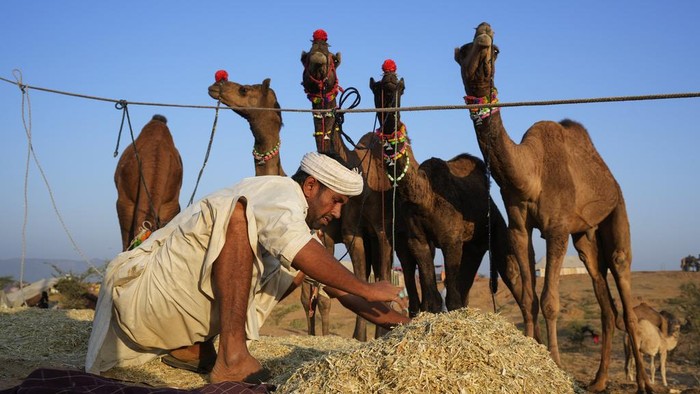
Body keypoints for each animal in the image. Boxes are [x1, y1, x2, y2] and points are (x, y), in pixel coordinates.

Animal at [302, 29, 400, 340]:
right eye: (306, 57)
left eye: (332, 59)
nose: (319, 60)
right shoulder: (334, 232)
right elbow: (328, 288)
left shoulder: (367, 231)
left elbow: (370, 278)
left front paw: (368, 335)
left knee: (380, 270)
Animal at [370, 59, 524, 318]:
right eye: (376, 87)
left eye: (401, 87)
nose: (390, 81)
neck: (424, 197)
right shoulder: (418, 241)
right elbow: (433, 301)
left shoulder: (451, 240)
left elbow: (451, 300)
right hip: (474, 246)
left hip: (497, 230)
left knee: (519, 287)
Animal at [456, 22, 652, 394]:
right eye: (463, 50)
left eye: (497, 49)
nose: (484, 32)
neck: (530, 173)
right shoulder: (520, 227)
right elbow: (529, 299)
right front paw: (532, 355)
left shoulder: (557, 229)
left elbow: (549, 301)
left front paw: (557, 365)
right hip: (586, 237)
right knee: (606, 302)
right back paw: (598, 381)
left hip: (616, 211)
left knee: (625, 288)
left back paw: (644, 384)